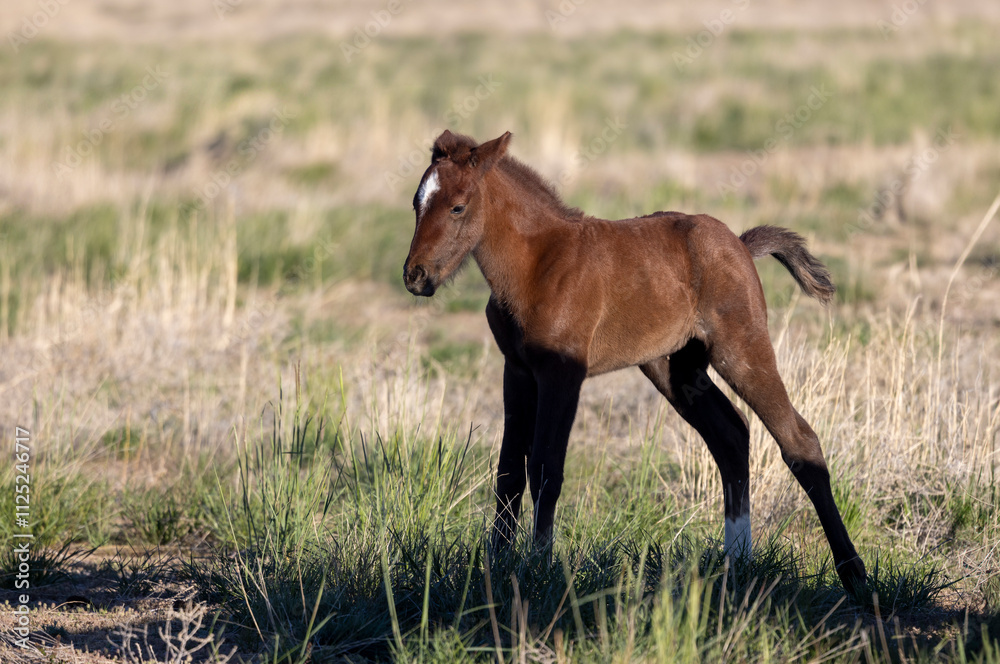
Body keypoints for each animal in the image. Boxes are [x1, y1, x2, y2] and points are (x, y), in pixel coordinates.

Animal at [402, 129, 867, 593]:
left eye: (458, 206)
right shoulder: (516, 370)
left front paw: (540, 569)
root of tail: (739, 243)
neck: (538, 264)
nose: (415, 276)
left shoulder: (562, 373)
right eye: (416, 203)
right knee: (731, 436)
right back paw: (736, 564)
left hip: (741, 349)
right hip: (674, 368)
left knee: (798, 441)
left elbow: (547, 468)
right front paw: (496, 569)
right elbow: (509, 473)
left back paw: (853, 574)